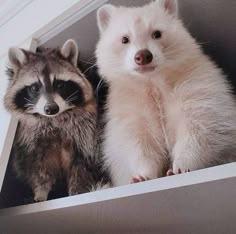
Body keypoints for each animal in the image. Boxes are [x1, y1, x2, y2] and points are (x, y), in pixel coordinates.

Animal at [3, 39, 107, 201]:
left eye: (60, 84)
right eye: (35, 88)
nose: (51, 108)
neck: (53, 120)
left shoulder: (85, 135)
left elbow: (82, 165)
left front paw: (78, 191)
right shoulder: (31, 143)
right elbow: (38, 170)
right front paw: (40, 193)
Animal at [95, 0, 236, 186]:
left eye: (157, 33)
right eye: (125, 39)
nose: (143, 56)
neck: (152, 80)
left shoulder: (196, 86)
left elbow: (200, 130)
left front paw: (183, 163)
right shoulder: (128, 107)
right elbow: (138, 144)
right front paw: (143, 172)